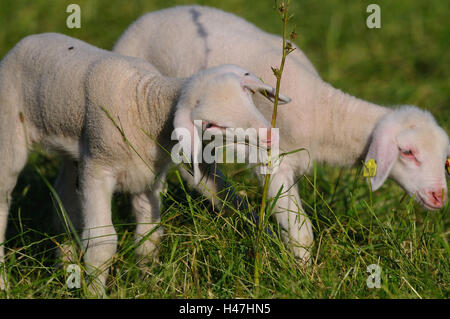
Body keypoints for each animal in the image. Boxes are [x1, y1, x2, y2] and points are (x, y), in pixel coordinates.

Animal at [0, 33, 288, 296]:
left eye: (248, 96)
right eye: (213, 124)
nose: (270, 136)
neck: (145, 104)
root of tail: (28, 40)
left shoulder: (148, 177)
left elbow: (149, 236)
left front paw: (147, 284)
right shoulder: (98, 169)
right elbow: (102, 242)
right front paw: (95, 292)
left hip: (72, 150)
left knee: (64, 201)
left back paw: (64, 264)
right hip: (11, 133)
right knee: (4, 197)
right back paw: (5, 283)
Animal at [112, 5, 450, 262]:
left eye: (445, 159)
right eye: (407, 152)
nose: (439, 197)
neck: (324, 113)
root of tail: (149, 15)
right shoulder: (272, 162)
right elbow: (301, 232)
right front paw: (303, 273)